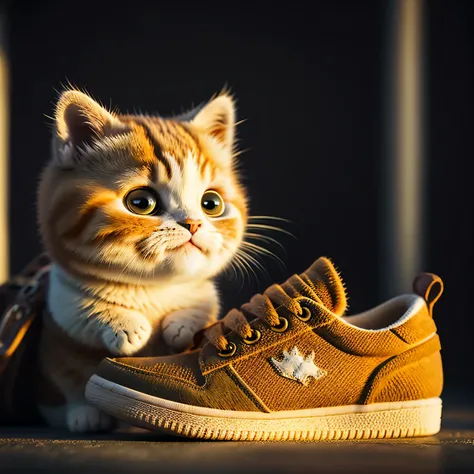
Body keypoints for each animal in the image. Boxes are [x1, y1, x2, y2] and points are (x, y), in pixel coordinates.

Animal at [35, 87, 246, 432]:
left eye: (211, 203)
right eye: (141, 202)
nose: (193, 224)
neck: (151, 290)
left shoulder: (204, 295)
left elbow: (203, 305)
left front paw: (182, 324)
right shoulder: (60, 308)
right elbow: (81, 319)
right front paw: (124, 325)